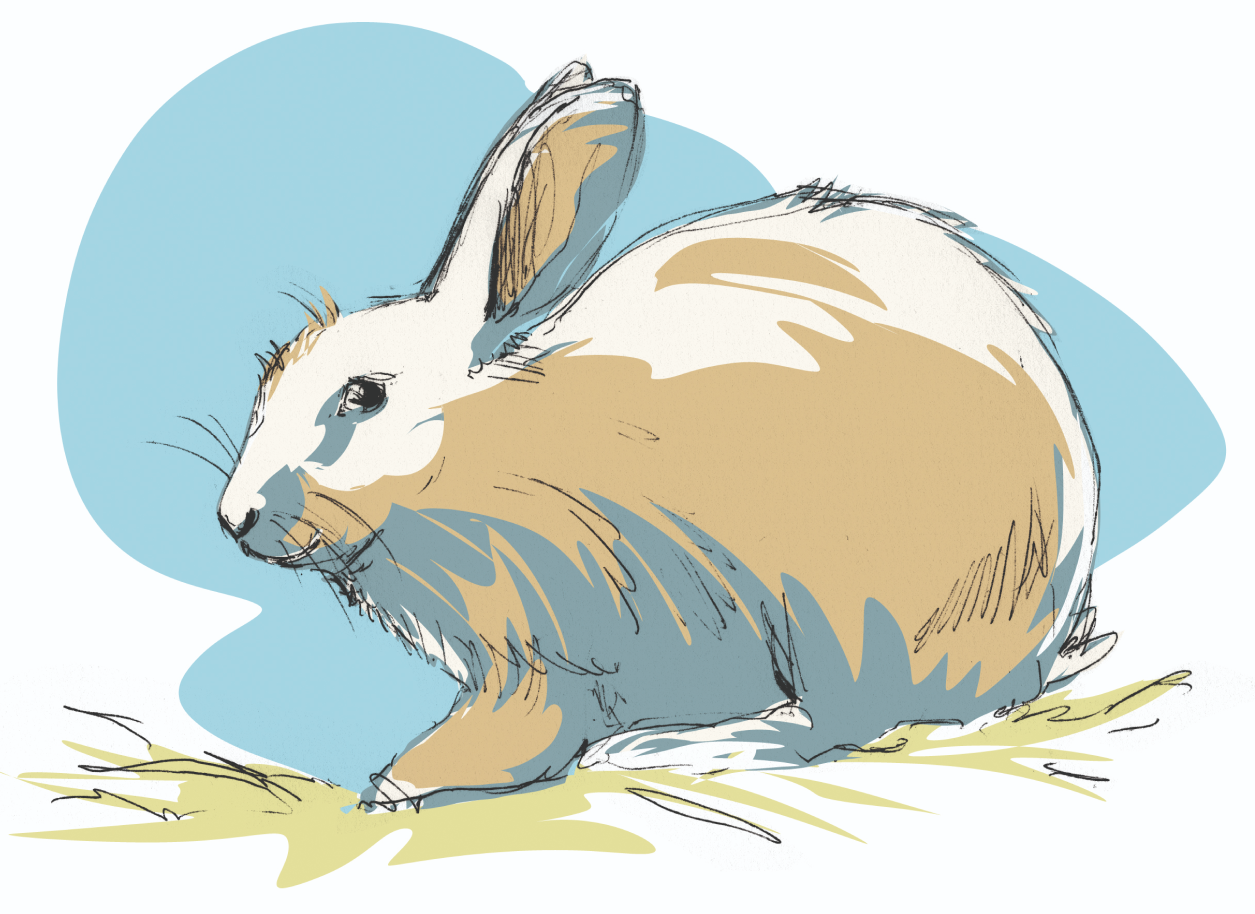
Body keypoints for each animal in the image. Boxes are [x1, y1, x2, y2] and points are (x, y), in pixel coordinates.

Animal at [216, 60, 1113, 810]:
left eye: (362, 397)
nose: (235, 519)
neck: (483, 448)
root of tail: (1037, 639)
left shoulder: (545, 649)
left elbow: (525, 729)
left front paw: (406, 780)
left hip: (845, 614)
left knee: (842, 725)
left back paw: (686, 747)